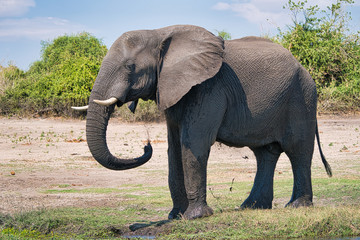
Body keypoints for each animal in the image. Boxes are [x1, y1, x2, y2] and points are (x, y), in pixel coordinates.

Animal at [72, 25, 332, 220]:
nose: (146, 144)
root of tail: (304, 69)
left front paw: (195, 217)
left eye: (129, 67)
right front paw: (175, 216)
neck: (159, 33)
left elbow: (193, 143)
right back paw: (251, 207)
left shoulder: (208, 88)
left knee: (298, 150)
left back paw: (297, 206)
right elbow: (174, 148)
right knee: (265, 153)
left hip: (302, 98)